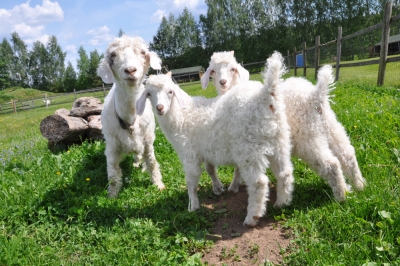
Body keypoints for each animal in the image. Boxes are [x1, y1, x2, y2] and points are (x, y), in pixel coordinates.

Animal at [97, 34, 165, 197]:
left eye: (143, 53)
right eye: (113, 55)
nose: (130, 70)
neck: (129, 118)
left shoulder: (147, 141)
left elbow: (152, 162)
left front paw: (158, 185)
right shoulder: (112, 147)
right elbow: (113, 174)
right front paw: (112, 195)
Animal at [137, 52, 294, 227]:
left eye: (170, 92)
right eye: (149, 94)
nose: (160, 108)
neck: (182, 117)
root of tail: (266, 96)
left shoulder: (190, 154)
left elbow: (191, 181)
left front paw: (193, 206)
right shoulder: (206, 151)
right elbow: (210, 170)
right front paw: (217, 189)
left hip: (249, 150)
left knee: (259, 182)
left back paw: (251, 218)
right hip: (279, 142)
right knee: (285, 173)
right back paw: (282, 202)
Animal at [203, 51, 366, 202]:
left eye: (233, 69)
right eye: (213, 71)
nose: (222, 82)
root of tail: (316, 96)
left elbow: (232, 168)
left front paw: (231, 186)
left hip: (308, 137)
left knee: (331, 164)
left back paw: (341, 196)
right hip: (330, 127)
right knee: (347, 154)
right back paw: (359, 186)